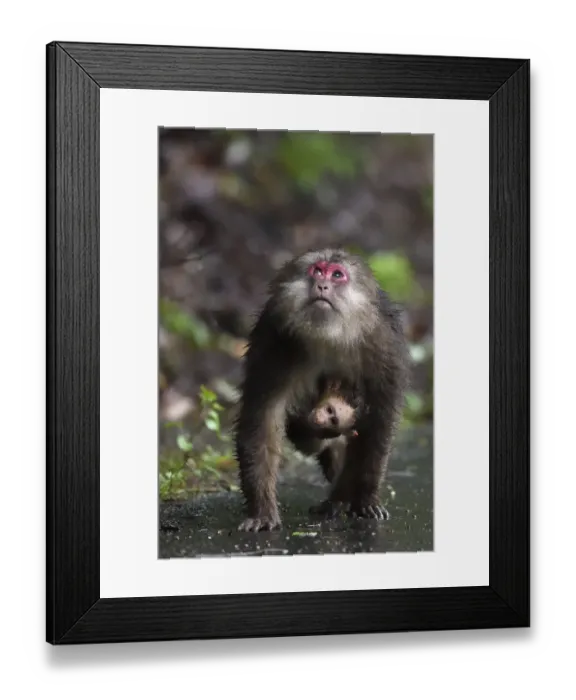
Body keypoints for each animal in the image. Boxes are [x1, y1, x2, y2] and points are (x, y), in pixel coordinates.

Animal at [234, 248, 410, 532]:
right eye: (317, 271)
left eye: (337, 275)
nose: (322, 285)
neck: (331, 334)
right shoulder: (274, 341)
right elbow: (263, 418)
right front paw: (261, 510)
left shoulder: (384, 344)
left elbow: (380, 421)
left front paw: (366, 498)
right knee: (309, 434)